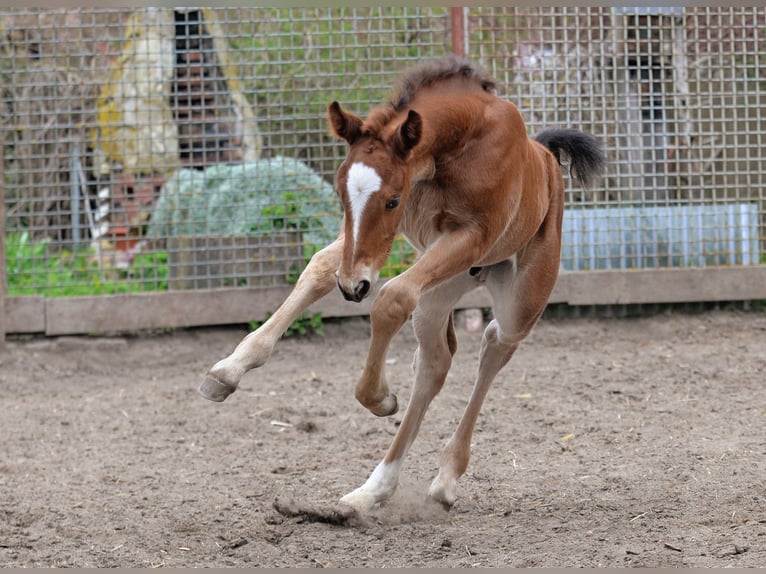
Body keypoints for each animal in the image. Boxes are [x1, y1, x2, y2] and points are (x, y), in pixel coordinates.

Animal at [199, 56, 606, 511]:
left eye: (392, 199)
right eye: (341, 194)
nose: (352, 288)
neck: (459, 145)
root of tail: (547, 159)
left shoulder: (470, 237)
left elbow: (391, 297)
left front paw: (378, 398)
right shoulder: (383, 243)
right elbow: (320, 268)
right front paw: (227, 371)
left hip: (517, 300)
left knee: (494, 346)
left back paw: (443, 477)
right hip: (440, 292)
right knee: (435, 363)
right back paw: (374, 489)